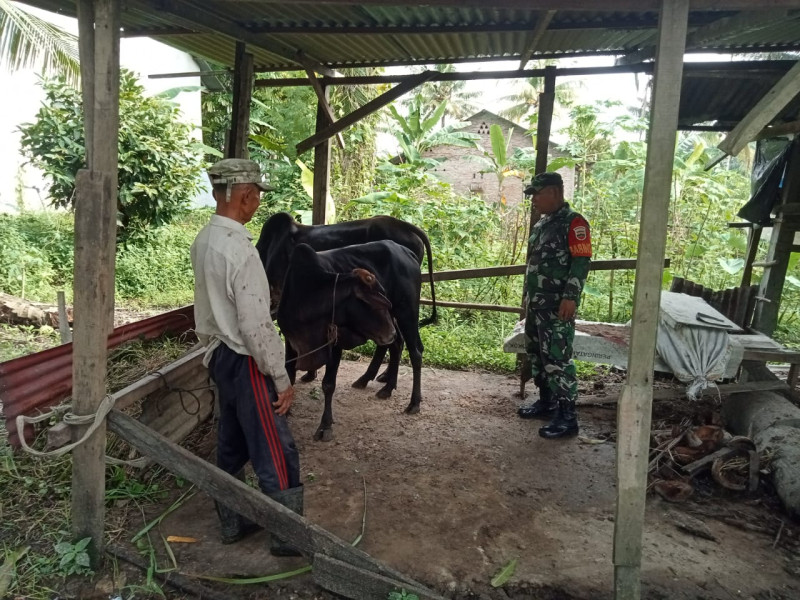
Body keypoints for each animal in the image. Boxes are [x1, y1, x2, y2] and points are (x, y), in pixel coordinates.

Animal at [276, 241, 424, 442]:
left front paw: (325, 426)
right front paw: (286, 411)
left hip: (406, 313)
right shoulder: (291, 342)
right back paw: (385, 387)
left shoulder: (335, 344)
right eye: (374, 301)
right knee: (396, 345)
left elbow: (328, 385)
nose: (390, 332)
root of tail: (405, 251)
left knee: (415, 353)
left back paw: (414, 402)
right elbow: (289, 375)